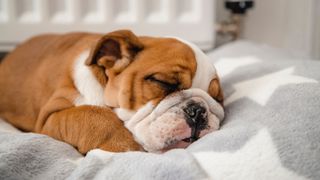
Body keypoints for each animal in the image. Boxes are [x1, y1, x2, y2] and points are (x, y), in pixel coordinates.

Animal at [0, 29, 224, 153]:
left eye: (218, 98)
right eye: (162, 82)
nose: (198, 110)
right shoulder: (51, 115)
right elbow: (91, 115)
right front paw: (125, 145)